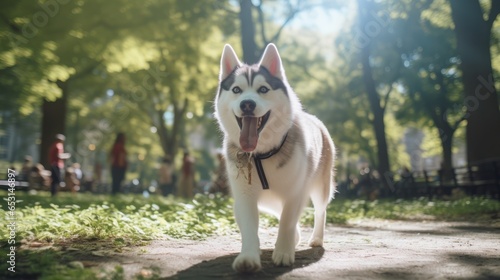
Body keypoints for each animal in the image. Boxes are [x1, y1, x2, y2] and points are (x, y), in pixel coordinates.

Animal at [213, 43, 334, 274]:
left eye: (263, 89)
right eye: (236, 90)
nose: (247, 104)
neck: (261, 153)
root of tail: (314, 119)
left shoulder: (295, 192)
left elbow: (287, 221)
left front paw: (284, 252)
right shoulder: (244, 195)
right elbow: (249, 227)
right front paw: (248, 257)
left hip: (320, 186)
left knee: (320, 211)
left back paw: (316, 238)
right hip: (265, 200)